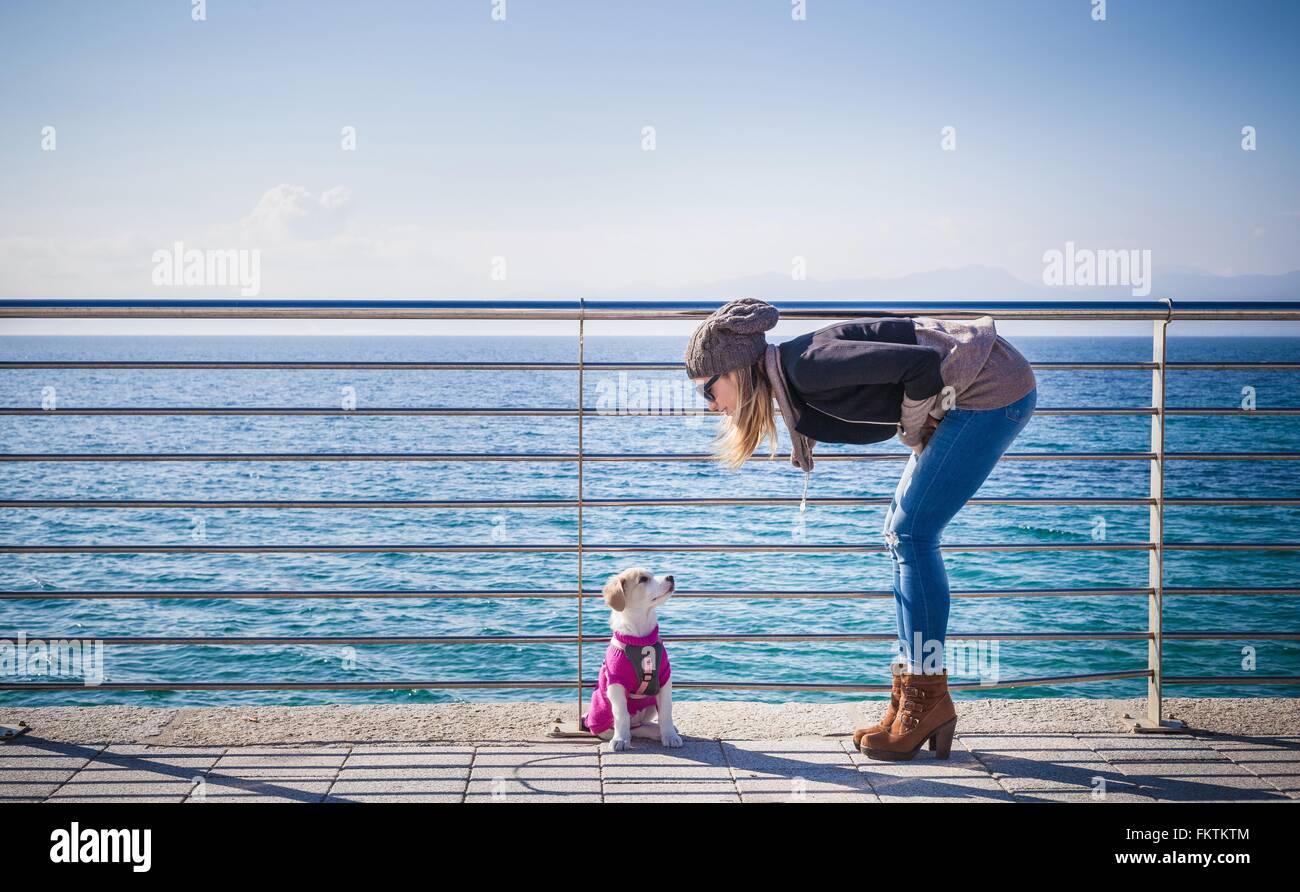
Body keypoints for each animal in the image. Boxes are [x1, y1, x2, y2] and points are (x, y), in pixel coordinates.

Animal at [585, 569, 686, 748]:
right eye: (643, 579)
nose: (671, 577)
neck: (641, 640)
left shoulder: (664, 678)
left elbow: (666, 712)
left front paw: (670, 736)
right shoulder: (616, 683)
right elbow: (621, 714)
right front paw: (620, 740)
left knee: (642, 724)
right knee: (633, 728)